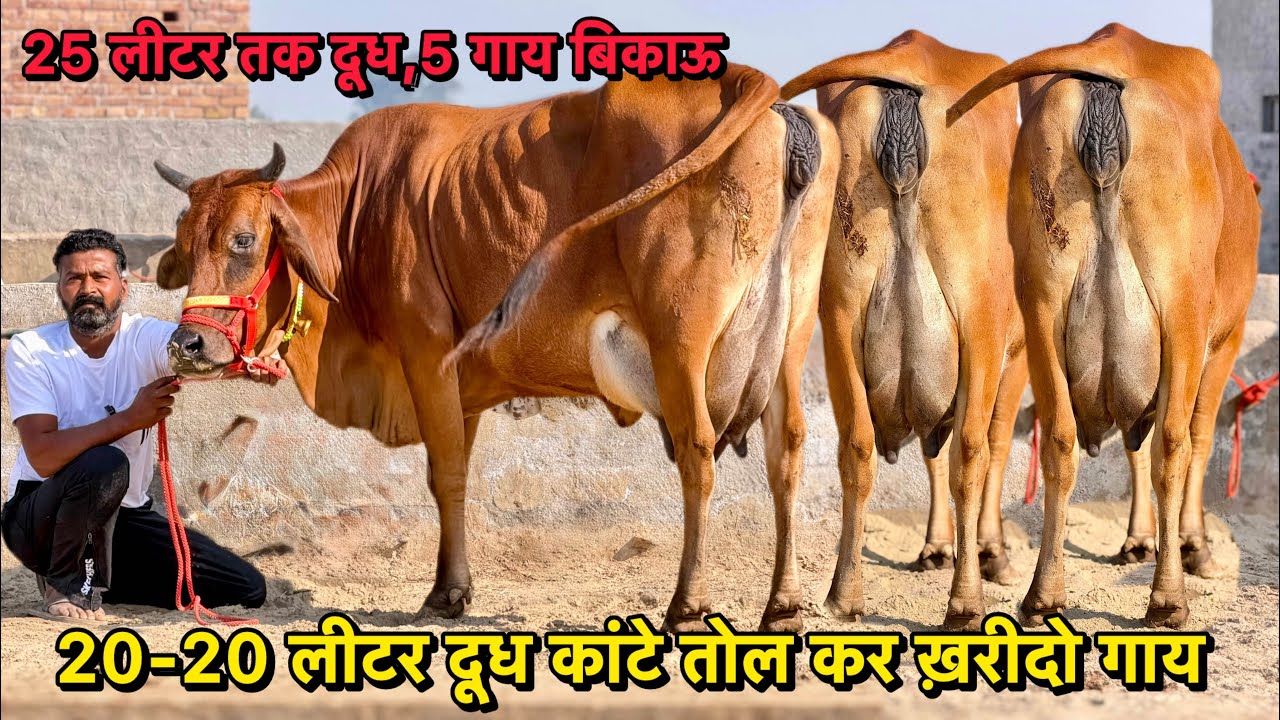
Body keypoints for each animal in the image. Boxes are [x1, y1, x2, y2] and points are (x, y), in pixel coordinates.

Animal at [152, 64, 840, 633]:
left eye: (243, 241)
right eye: (185, 244)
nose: (187, 343)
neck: (358, 212)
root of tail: (758, 92)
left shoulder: (426, 355)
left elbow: (445, 472)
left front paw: (447, 593)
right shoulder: (465, 383)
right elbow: (456, 467)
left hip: (680, 342)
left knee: (697, 455)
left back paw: (687, 606)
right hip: (788, 342)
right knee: (786, 455)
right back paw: (783, 606)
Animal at [779, 30, 1026, 630]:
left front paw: (938, 548)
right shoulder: (1018, 356)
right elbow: (993, 446)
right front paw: (990, 554)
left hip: (839, 319)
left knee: (857, 449)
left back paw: (844, 594)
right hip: (980, 325)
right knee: (971, 454)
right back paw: (965, 601)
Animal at [949, 24, 1260, 627]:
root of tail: (1112, 50)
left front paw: (1141, 540)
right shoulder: (1225, 340)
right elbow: (1198, 438)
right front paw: (1192, 545)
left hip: (1042, 307)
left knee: (1060, 441)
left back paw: (1043, 594)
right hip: (1182, 313)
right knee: (1173, 444)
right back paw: (1168, 598)